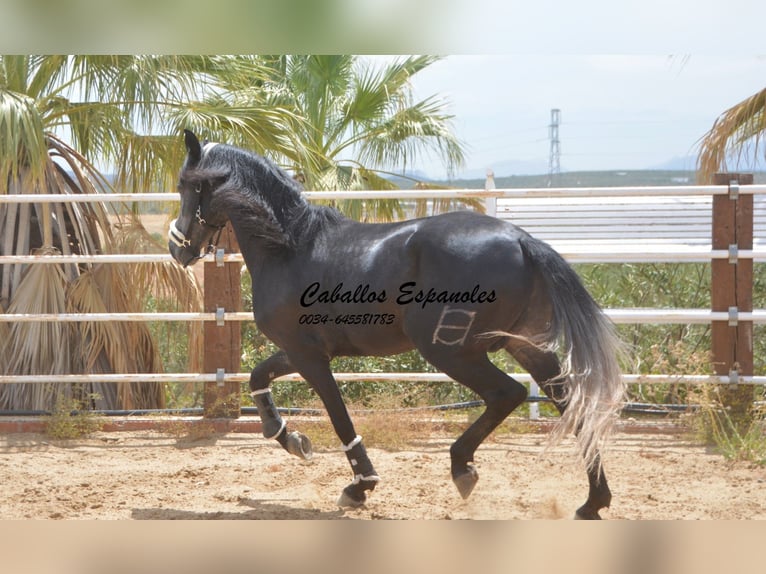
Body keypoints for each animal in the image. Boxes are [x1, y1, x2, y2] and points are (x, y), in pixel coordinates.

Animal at [168, 132, 624, 520]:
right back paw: (593, 502)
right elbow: (258, 377)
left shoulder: (310, 356)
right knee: (570, 401)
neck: (290, 247)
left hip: (449, 350)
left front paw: (359, 486)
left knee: (506, 393)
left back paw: (463, 468)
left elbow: (338, 417)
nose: (178, 248)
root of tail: (520, 240)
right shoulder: (300, 350)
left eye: (186, 185)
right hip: (524, 344)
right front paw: (290, 439)